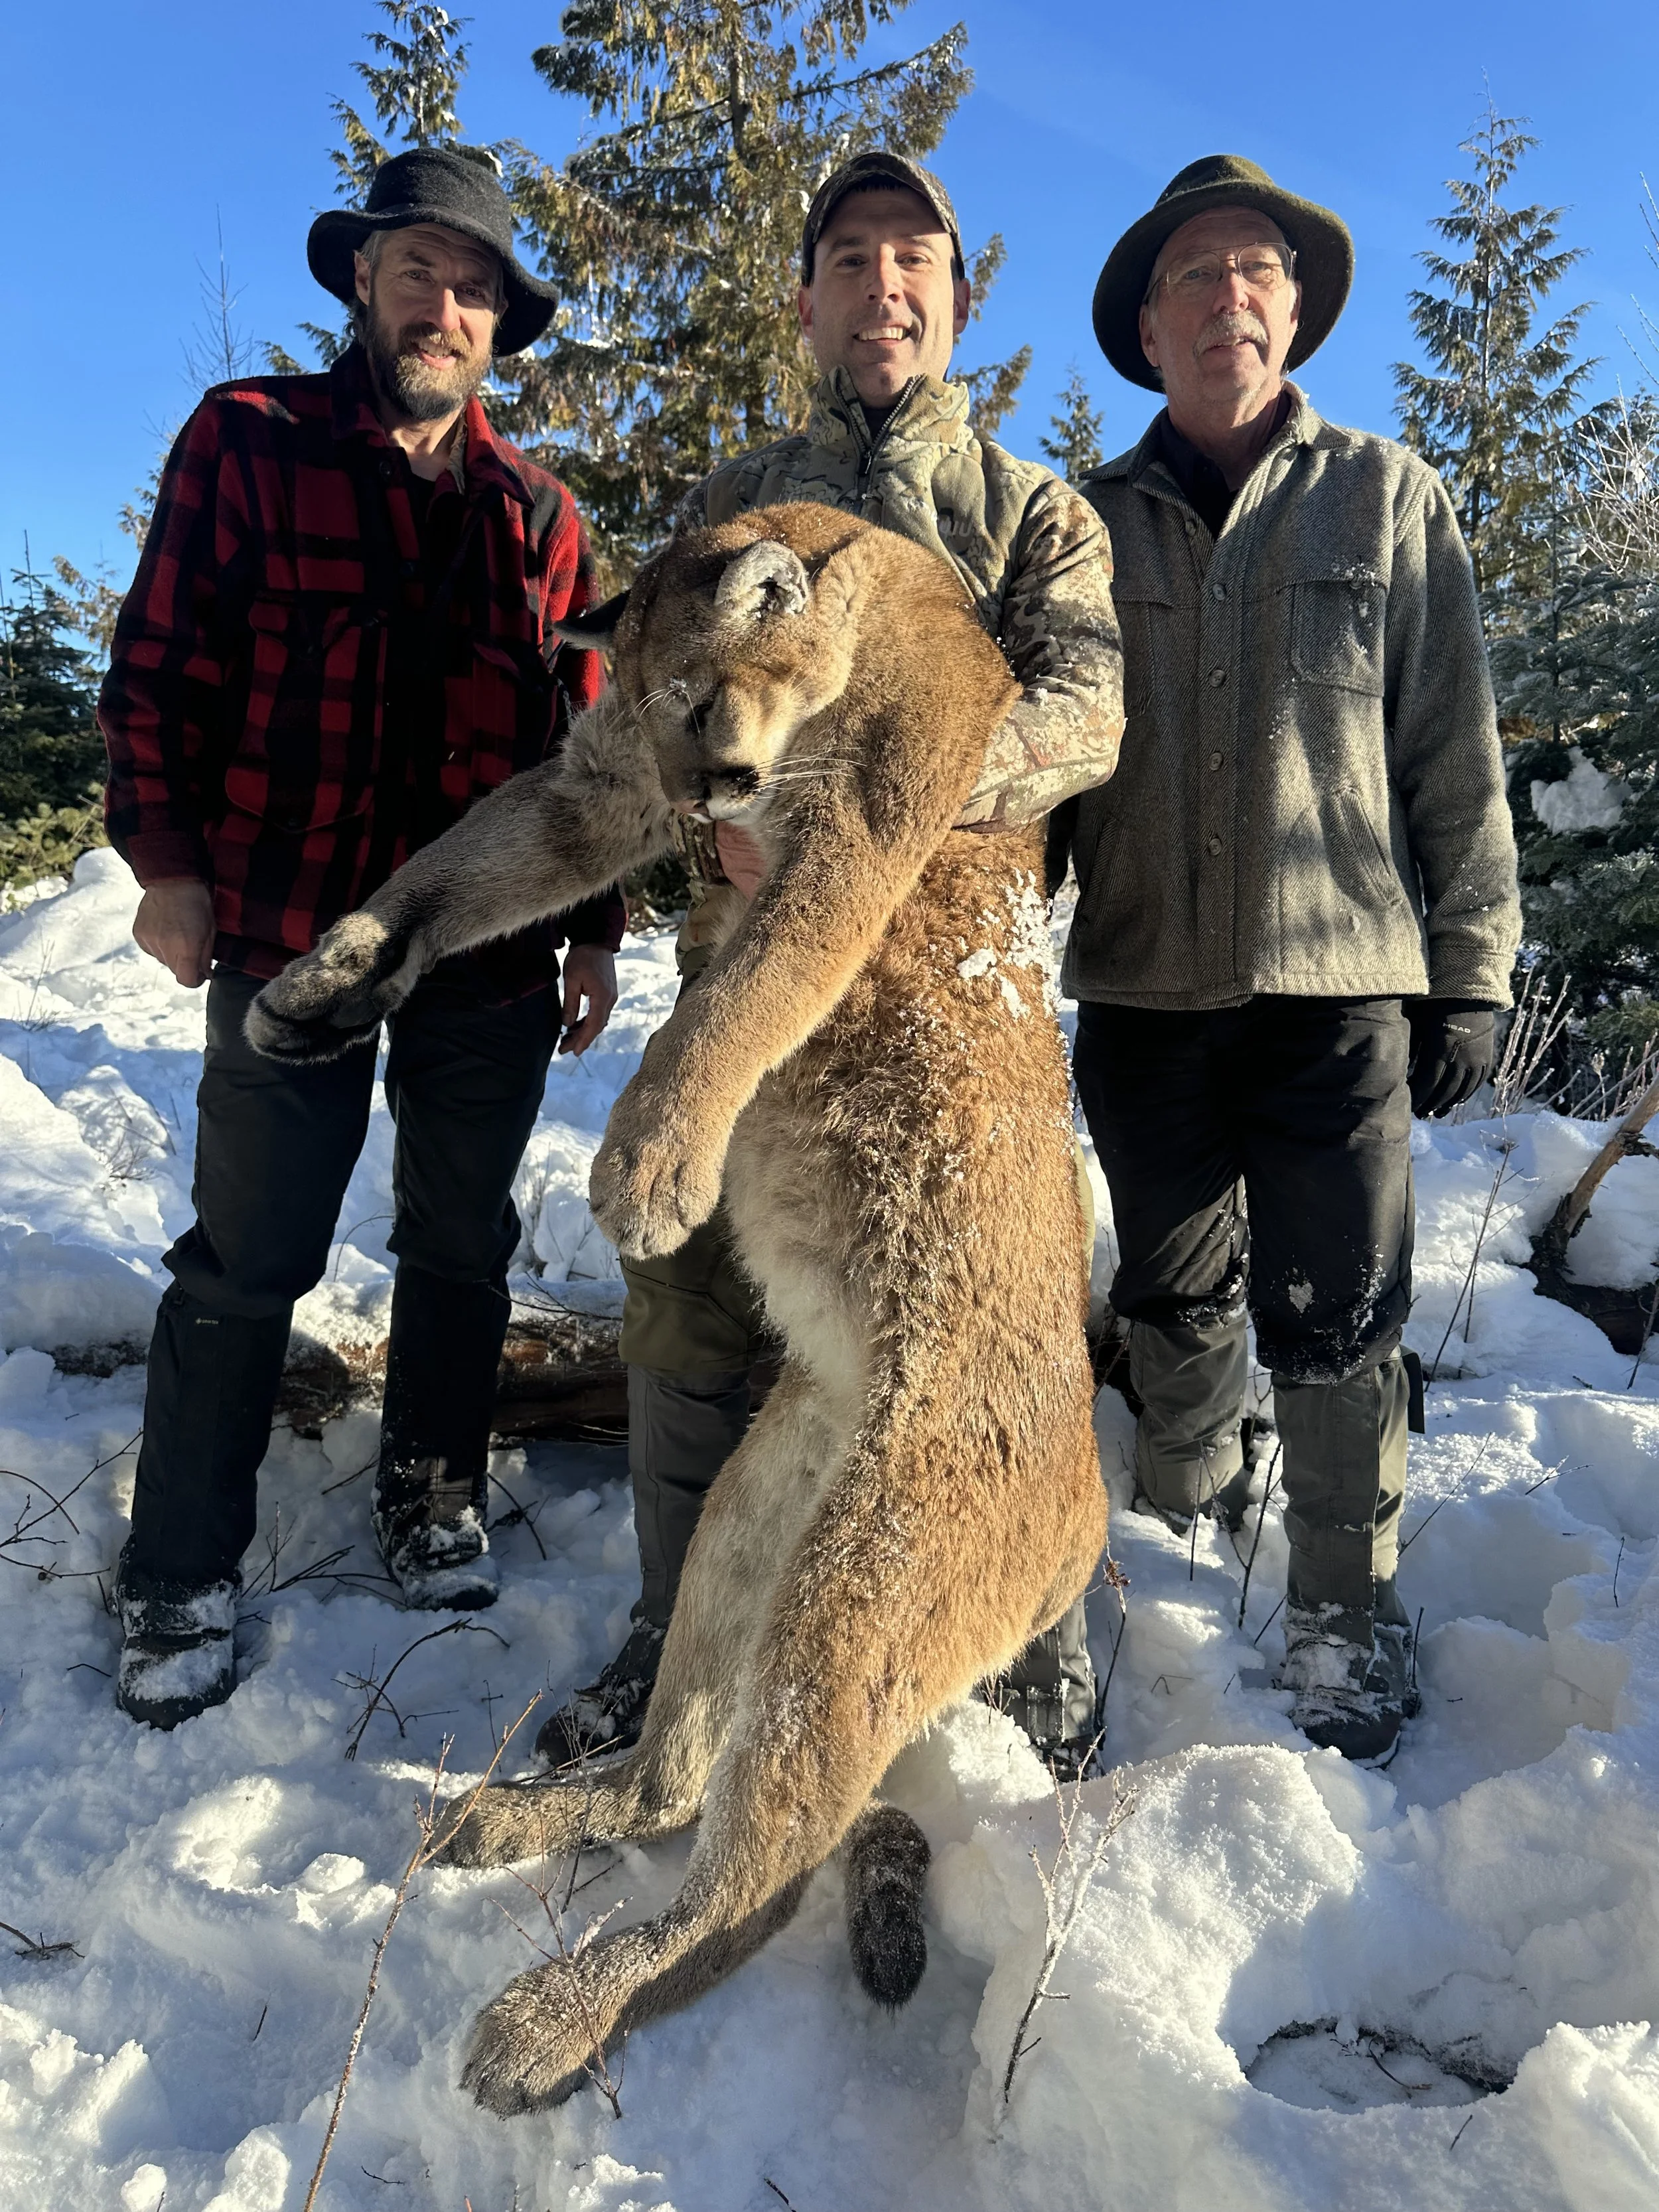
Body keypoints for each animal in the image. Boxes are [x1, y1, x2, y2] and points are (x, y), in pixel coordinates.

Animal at [247, 501, 1107, 2113]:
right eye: (651, 702)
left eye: (712, 693)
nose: (708, 784)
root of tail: (1091, 1500)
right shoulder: (595, 787)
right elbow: (455, 866)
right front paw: (325, 981)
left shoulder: (863, 818)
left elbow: (753, 984)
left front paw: (647, 1163)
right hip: (758, 1517)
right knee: (672, 1783)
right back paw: (521, 1818)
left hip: (864, 1589)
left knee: (758, 1878)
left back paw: (551, 2015)